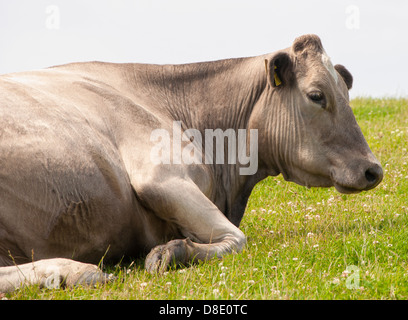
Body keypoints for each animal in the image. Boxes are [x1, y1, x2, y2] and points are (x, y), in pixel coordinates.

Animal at [0, 35, 382, 292]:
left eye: (347, 94)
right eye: (317, 95)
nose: (373, 169)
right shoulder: (160, 176)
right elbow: (238, 239)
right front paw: (174, 252)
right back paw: (77, 271)